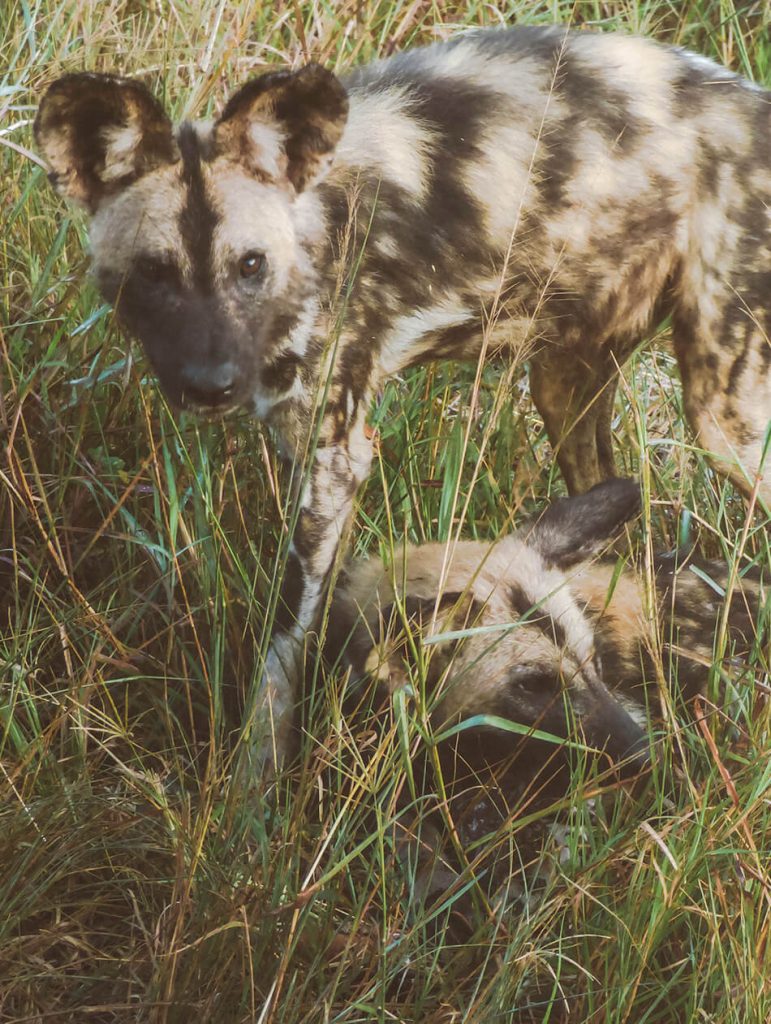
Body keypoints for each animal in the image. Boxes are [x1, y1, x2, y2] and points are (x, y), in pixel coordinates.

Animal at [34, 25, 769, 761]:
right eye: (154, 273)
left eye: (250, 265)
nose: (212, 383)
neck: (313, 230)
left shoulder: (334, 463)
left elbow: (286, 642)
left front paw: (256, 776)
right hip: (564, 390)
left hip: (724, 427)